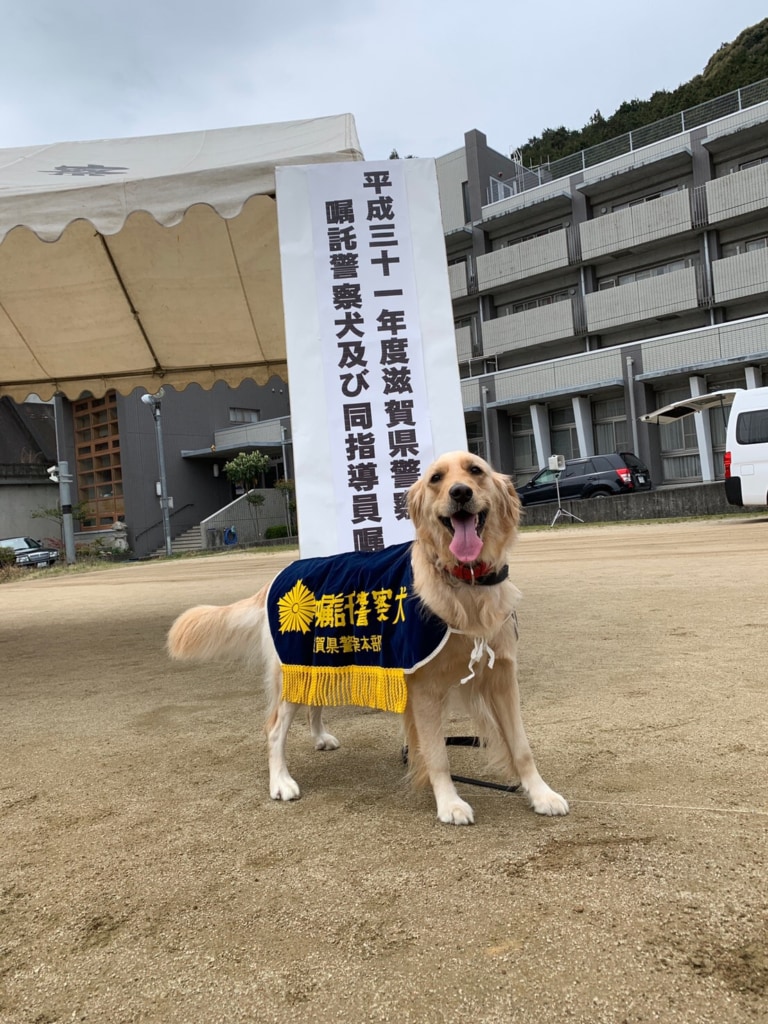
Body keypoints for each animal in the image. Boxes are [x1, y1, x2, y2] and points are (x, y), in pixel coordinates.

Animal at [166, 450, 565, 823]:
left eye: (476, 471)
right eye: (436, 478)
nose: (460, 492)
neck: (464, 581)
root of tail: (281, 572)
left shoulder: (502, 677)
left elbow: (521, 747)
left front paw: (541, 794)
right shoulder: (423, 685)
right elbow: (437, 754)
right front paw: (449, 803)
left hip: (322, 658)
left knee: (314, 702)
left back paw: (320, 738)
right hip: (292, 667)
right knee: (275, 729)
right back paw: (280, 781)